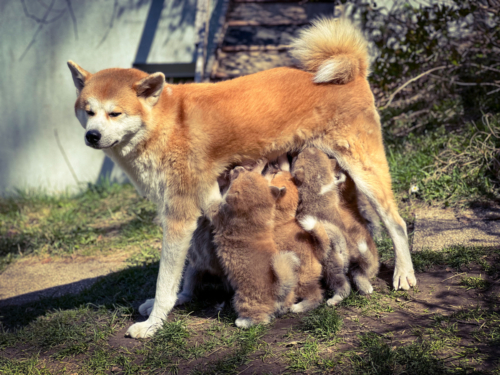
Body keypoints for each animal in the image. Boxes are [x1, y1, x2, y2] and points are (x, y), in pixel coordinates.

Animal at [205, 166, 298, 328]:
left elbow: (212, 196)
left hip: (243, 300)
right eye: (248, 172)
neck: (252, 217)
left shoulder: (215, 210)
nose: (238, 167)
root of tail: (278, 290)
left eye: (237, 175)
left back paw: (242, 322)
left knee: (260, 319)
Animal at [264, 157, 326, 316]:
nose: (272, 164)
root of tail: (317, 253)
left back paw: (299, 307)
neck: (283, 217)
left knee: (316, 297)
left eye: (275, 173)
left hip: (301, 282)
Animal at [292, 147, 378, 306]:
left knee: (344, 286)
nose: (306, 147)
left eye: (298, 156)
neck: (319, 189)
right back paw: (366, 288)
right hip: (357, 266)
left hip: (331, 269)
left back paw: (333, 300)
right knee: (360, 277)